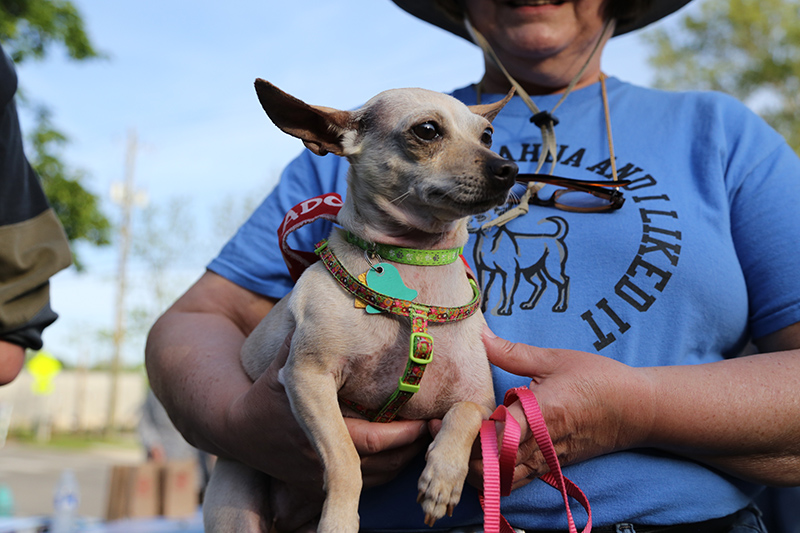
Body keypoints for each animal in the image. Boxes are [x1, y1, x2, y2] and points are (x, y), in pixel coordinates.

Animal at [203, 80, 520, 532]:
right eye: (427, 130)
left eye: (487, 135)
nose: (508, 168)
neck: (415, 267)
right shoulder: (308, 379)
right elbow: (344, 459)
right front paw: (339, 519)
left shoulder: (479, 401)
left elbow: (462, 419)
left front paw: (442, 479)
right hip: (236, 501)